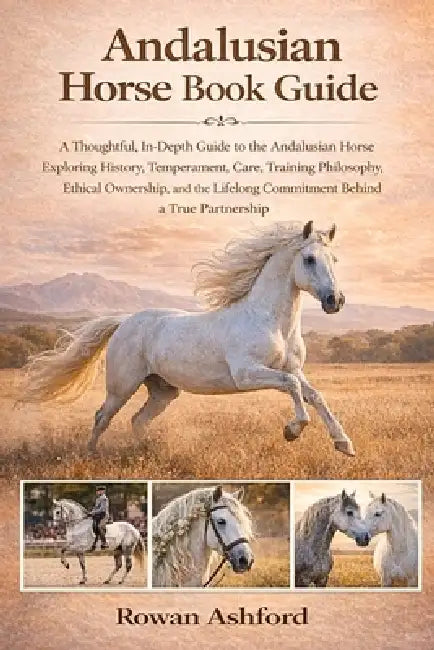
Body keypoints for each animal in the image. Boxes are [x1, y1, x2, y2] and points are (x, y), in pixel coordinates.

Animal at [23, 220, 355, 456]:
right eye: (309, 259)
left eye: (335, 259)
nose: (335, 301)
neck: (271, 322)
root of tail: (124, 322)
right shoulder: (247, 374)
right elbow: (294, 387)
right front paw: (293, 430)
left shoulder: (292, 368)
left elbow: (314, 395)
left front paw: (344, 444)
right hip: (122, 386)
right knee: (102, 416)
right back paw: (90, 455)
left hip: (163, 391)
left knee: (138, 420)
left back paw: (146, 453)